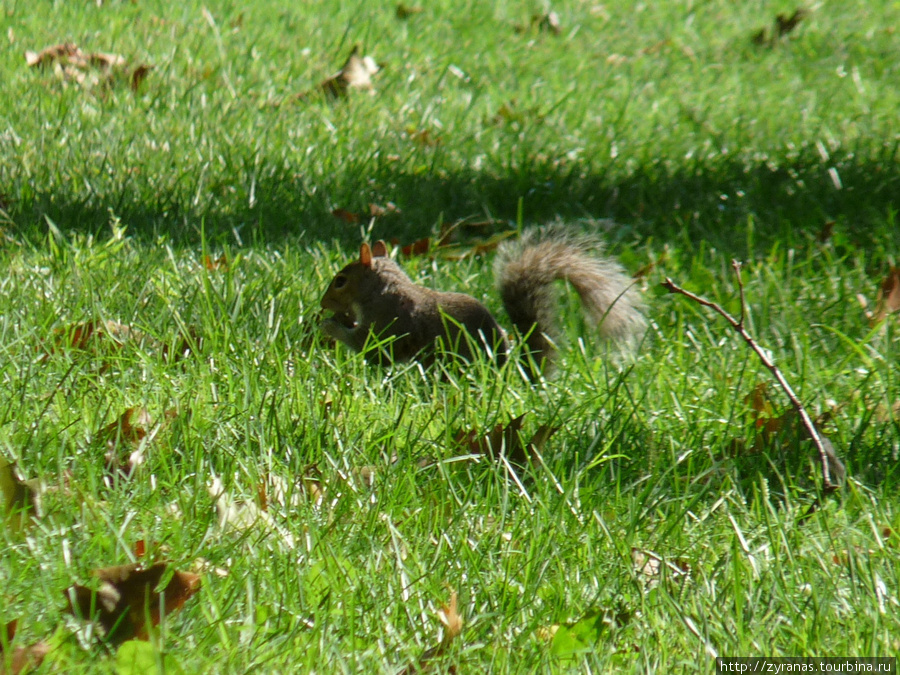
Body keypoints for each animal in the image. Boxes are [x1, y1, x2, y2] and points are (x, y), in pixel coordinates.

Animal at [320, 226, 644, 374]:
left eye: (340, 281)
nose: (323, 304)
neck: (382, 290)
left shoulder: (387, 324)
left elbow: (369, 347)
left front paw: (329, 325)